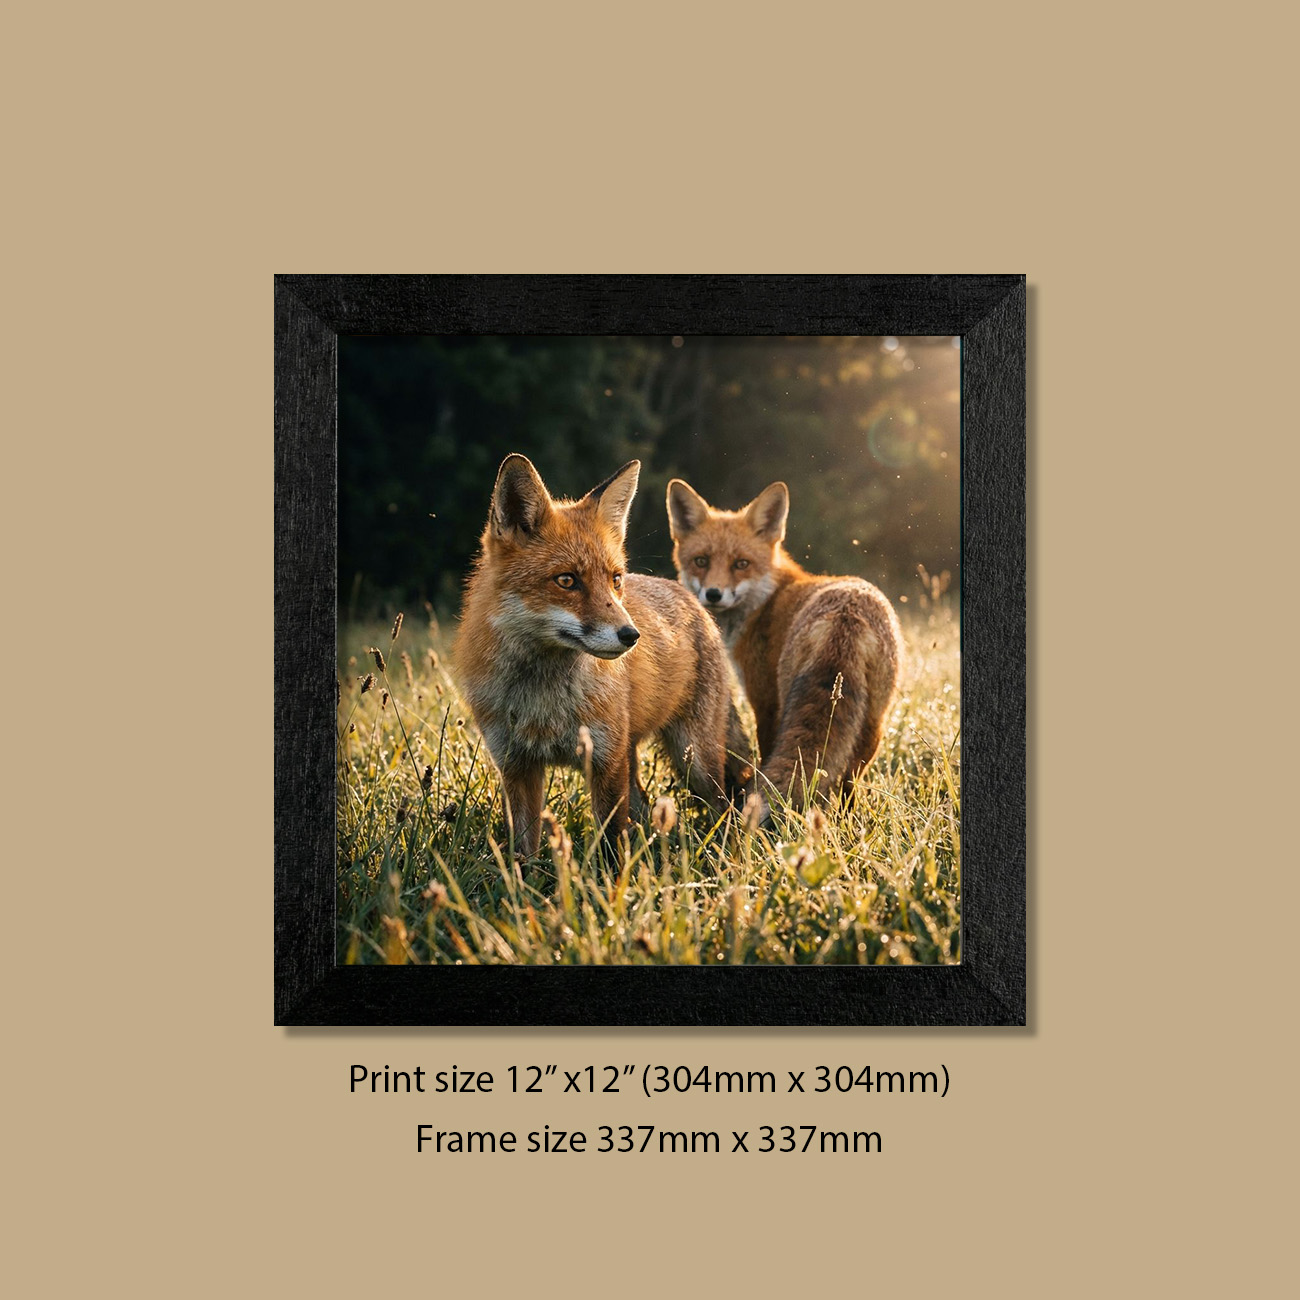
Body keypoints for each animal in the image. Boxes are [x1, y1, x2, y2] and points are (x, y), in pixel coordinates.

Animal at [456, 454, 736, 859]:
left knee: (725, 807)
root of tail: (688, 594)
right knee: (646, 808)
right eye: (567, 580)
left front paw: (615, 875)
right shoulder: (517, 766)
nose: (631, 635)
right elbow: (524, 851)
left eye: (615, 580)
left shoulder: (605, 761)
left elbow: (611, 844)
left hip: (694, 759)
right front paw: (523, 876)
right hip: (638, 758)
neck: (545, 703)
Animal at [666, 477, 903, 818]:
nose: (713, 594)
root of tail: (847, 615)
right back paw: (847, 818)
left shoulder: (765, 699)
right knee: (850, 778)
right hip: (874, 723)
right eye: (701, 561)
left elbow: (766, 750)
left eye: (741, 564)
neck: (766, 600)